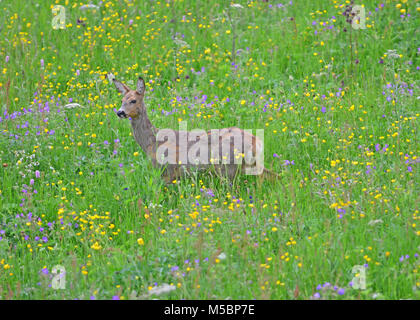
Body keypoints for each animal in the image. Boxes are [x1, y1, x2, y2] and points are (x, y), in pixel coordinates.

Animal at [111, 75, 278, 184]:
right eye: (122, 100)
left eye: (133, 100)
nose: (120, 112)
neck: (152, 141)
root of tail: (257, 142)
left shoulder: (167, 170)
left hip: (227, 166)